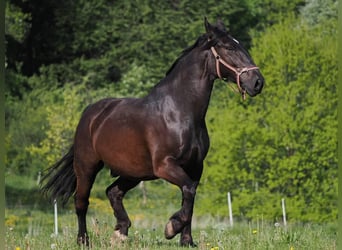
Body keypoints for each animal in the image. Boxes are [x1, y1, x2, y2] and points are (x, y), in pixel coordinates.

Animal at [40, 18, 264, 247]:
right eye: (228, 47)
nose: (257, 82)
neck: (179, 112)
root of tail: (90, 114)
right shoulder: (165, 166)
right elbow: (188, 191)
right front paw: (171, 227)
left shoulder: (195, 167)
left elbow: (190, 197)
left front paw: (186, 241)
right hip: (87, 167)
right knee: (81, 202)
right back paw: (84, 240)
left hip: (133, 172)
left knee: (113, 192)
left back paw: (120, 232)